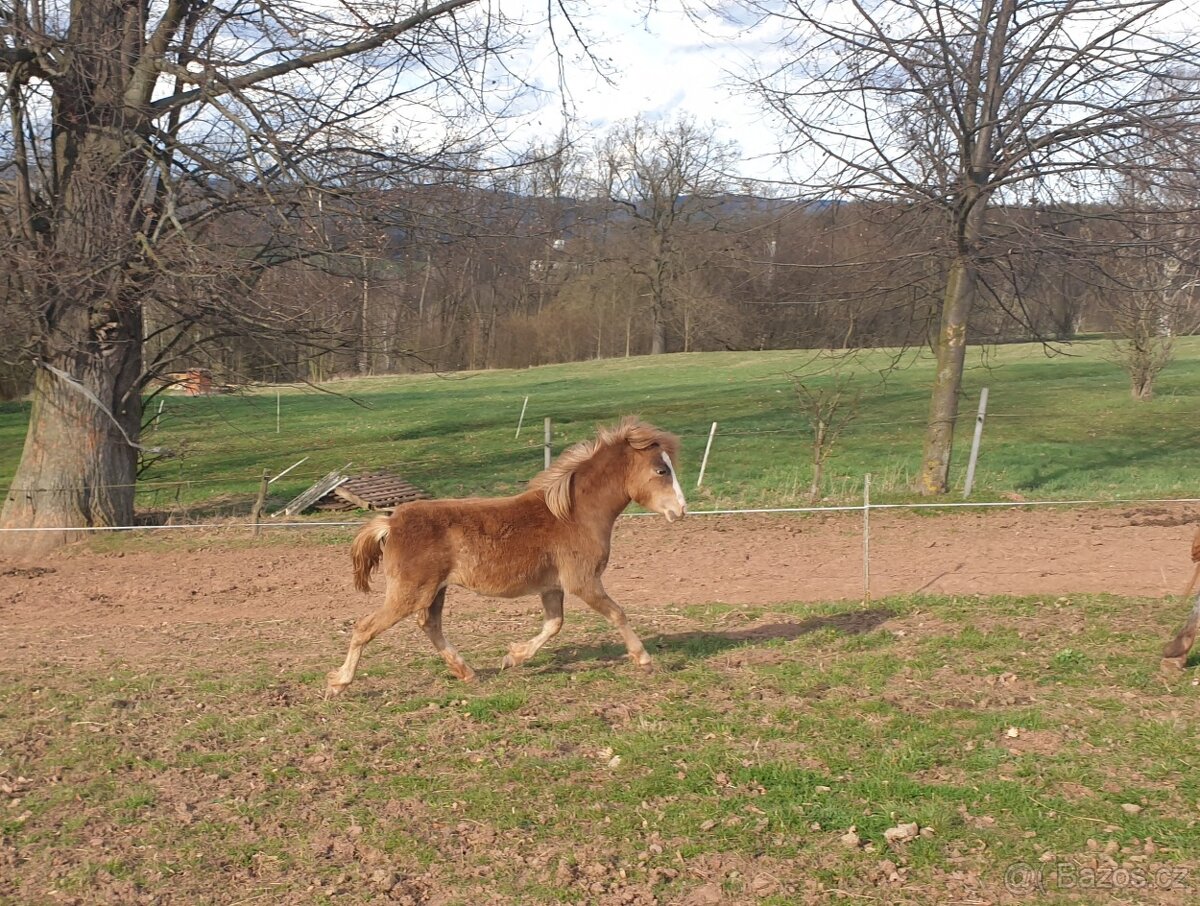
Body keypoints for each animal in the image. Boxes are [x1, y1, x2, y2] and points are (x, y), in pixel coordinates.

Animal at [325, 417, 687, 697]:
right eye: (660, 470)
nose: (681, 510)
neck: (574, 515)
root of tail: (391, 522)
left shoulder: (552, 587)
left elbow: (554, 624)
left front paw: (512, 657)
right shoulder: (583, 581)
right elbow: (617, 614)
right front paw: (644, 660)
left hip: (434, 591)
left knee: (430, 625)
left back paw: (467, 672)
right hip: (410, 592)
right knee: (365, 627)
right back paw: (339, 683)